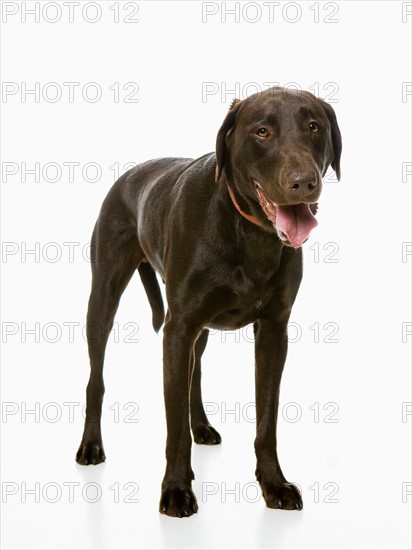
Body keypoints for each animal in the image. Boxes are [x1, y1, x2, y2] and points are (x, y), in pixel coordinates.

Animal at [76, 86, 342, 516]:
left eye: (314, 127)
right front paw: (175, 489)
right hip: (104, 298)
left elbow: (267, 418)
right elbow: (173, 427)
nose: (304, 182)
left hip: (198, 329)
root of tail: (133, 171)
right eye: (262, 131)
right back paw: (90, 445)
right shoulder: (177, 328)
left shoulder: (274, 331)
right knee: (96, 378)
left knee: (194, 373)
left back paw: (200, 424)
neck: (251, 233)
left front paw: (274, 483)